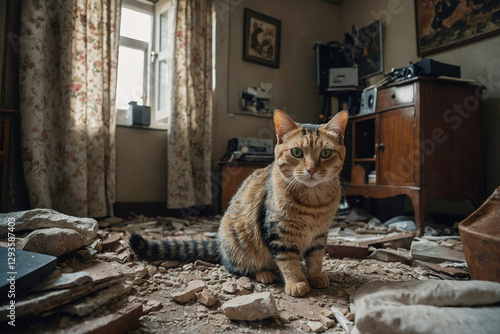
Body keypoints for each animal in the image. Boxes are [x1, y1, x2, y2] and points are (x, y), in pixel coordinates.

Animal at [129, 110, 348, 298]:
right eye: (296, 152)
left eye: (326, 153)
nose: (311, 170)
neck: (313, 202)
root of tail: (218, 243)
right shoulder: (278, 233)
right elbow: (288, 261)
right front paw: (297, 282)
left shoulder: (319, 234)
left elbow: (316, 258)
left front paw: (316, 276)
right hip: (240, 242)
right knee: (237, 267)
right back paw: (264, 273)